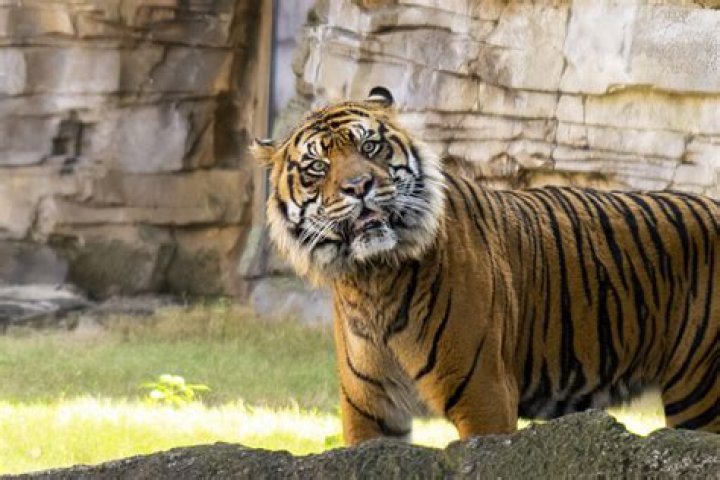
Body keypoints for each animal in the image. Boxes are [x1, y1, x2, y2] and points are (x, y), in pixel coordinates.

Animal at [251, 86, 719, 445]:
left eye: (370, 146)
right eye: (317, 166)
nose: (359, 186)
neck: (372, 278)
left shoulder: (484, 395)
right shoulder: (368, 409)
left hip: (701, 394)